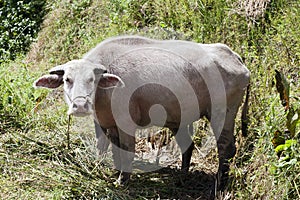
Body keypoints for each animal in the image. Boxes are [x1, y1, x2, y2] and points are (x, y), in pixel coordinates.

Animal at [34, 35, 251, 189]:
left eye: (92, 80)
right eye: (67, 79)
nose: (79, 106)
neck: (105, 91)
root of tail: (236, 58)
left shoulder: (125, 122)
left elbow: (127, 150)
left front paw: (123, 180)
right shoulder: (105, 123)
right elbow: (107, 148)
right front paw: (108, 170)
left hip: (222, 113)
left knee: (226, 148)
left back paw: (219, 184)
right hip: (180, 119)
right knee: (187, 146)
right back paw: (181, 178)